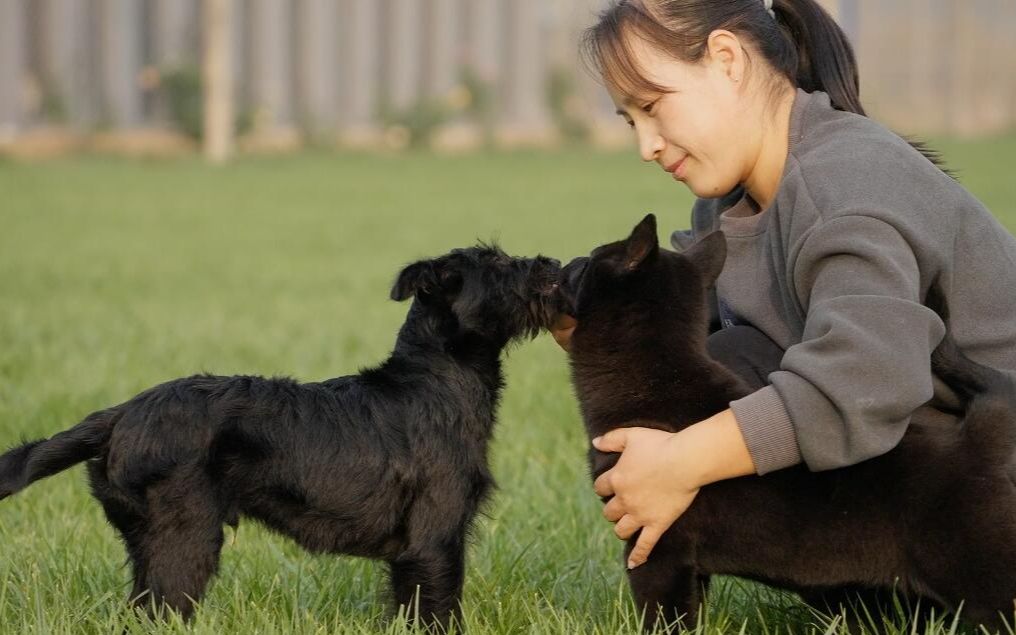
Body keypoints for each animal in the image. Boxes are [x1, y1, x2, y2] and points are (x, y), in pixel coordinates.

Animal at [0, 244, 560, 625]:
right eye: (498, 265)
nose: (552, 264)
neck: (435, 379)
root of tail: (120, 414)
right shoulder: (434, 543)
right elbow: (438, 613)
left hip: (149, 543)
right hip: (182, 542)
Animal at [556, 215, 1016, 629]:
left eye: (587, 262)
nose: (563, 264)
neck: (652, 373)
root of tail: (978, 438)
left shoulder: (657, 545)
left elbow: (662, 616)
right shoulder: (688, 566)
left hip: (983, 577)